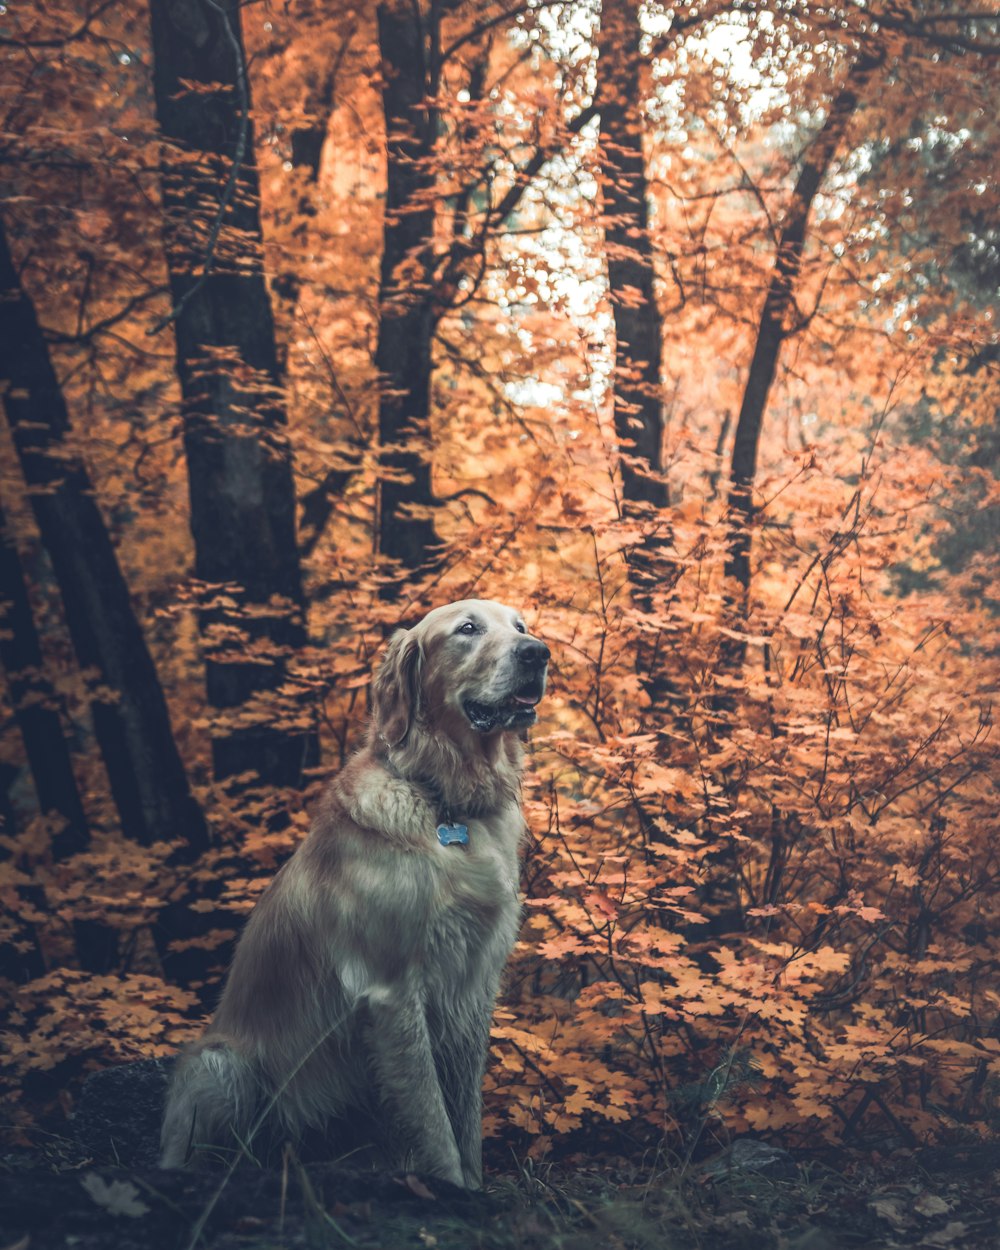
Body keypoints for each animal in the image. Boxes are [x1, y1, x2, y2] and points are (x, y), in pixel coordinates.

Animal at [158, 600, 547, 1185]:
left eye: (521, 627)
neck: (444, 801)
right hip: (219, 1063)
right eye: (468, 629)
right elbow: (431, 1115)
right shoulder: (392, 988)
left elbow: (465, 1116)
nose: (538, 653)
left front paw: (474, 1187)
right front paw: (450, 1184)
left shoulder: (474, 984)